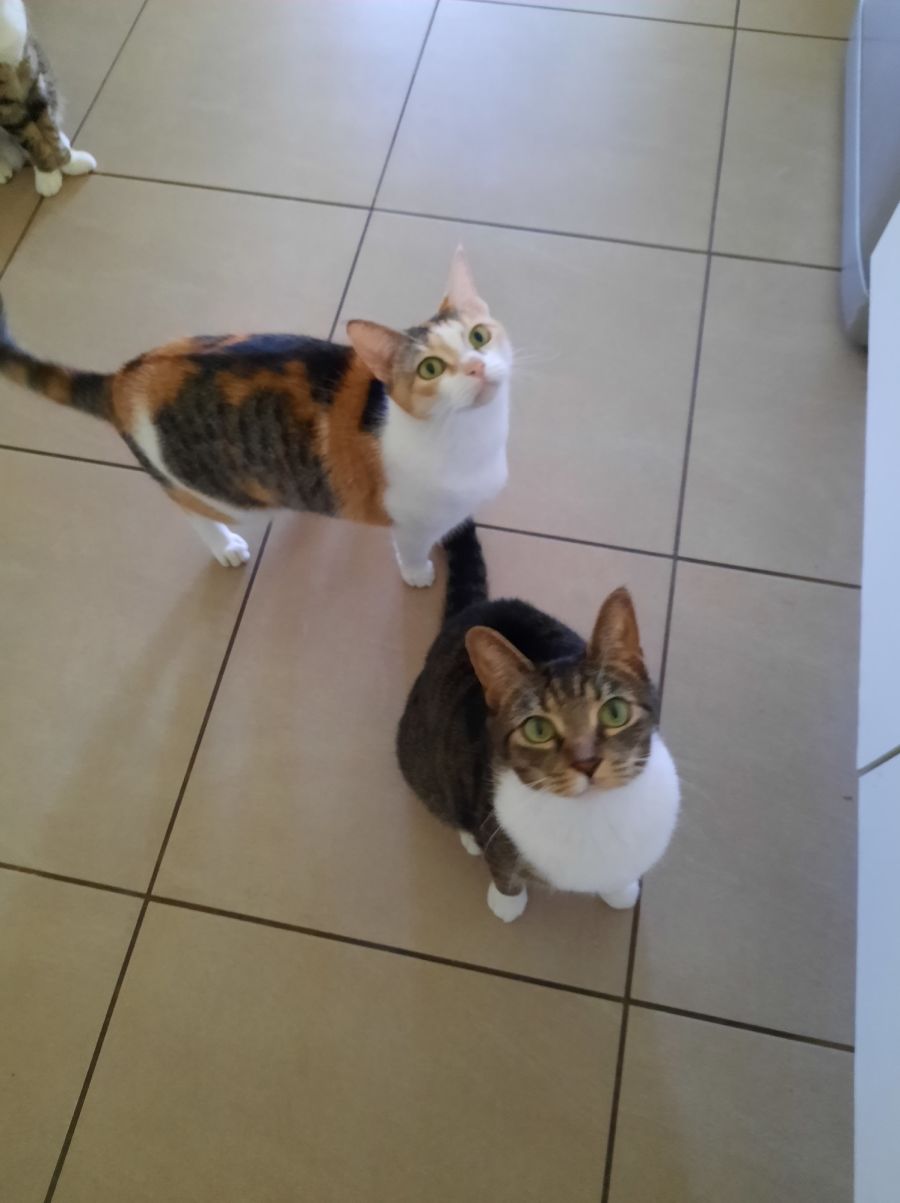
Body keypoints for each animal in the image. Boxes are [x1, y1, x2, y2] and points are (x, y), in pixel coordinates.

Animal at [0, 0, 96, 196]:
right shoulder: (5, 104)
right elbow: (31, 138)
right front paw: (48, 176)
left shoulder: (28, 72)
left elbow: (47, 129)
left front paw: (69, 163)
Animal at [0, 249, 511, 584]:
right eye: (430, 368)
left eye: (479, 336)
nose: (476, 366)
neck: (470, 438)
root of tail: (123, 380)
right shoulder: (411, 521)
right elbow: (411, 547)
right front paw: (419, 572)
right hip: (226, 498)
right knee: (189, 508)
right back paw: (224, 545)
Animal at [397, 521, 679, 921]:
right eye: (538, 730)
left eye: (614, 712)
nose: (587, 762)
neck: (591, 817)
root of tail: (473, 610)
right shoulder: (497, 829)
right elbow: (503, 868)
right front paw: (506, 903)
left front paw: (620, 889)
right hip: (418, 755)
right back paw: (468, 835)